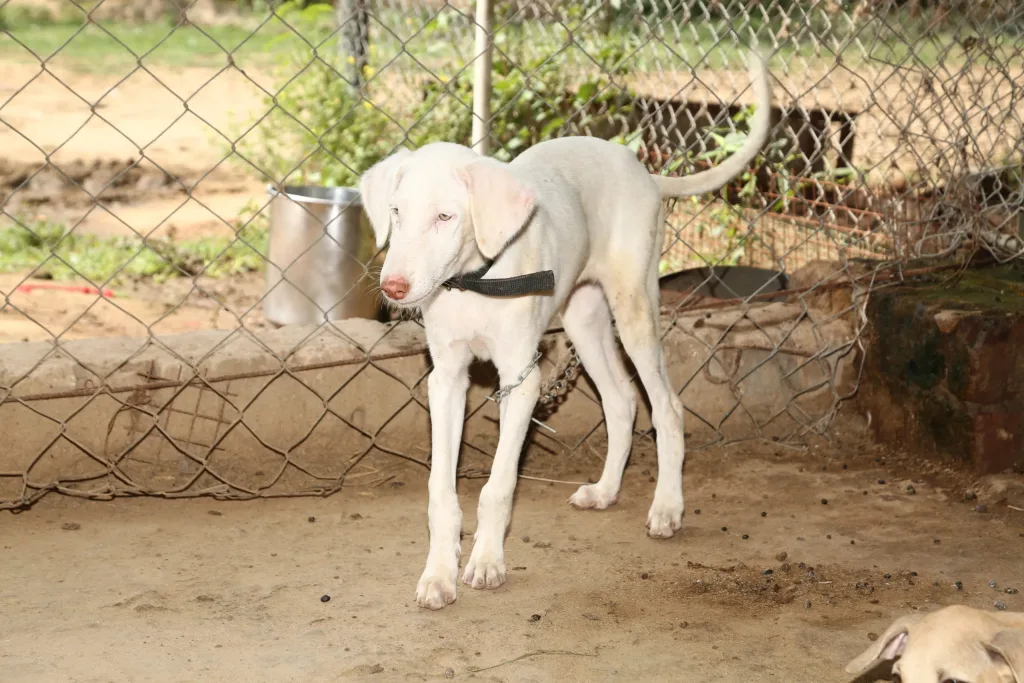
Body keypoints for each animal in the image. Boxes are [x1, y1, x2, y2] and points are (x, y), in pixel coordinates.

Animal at [360, 50, 770, 610]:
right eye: (396, 213)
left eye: (445, 217)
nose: (394, 288)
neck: (473, 280)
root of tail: (642, 171)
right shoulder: (446, 379)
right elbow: (441, 492)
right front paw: (439, 574)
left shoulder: (522, 379)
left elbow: (498, 485)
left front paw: (486, 561)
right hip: (583, 318)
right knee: (621, 400)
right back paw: (607, 490)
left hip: (634, 308)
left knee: (666, 406)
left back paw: (667, 508)